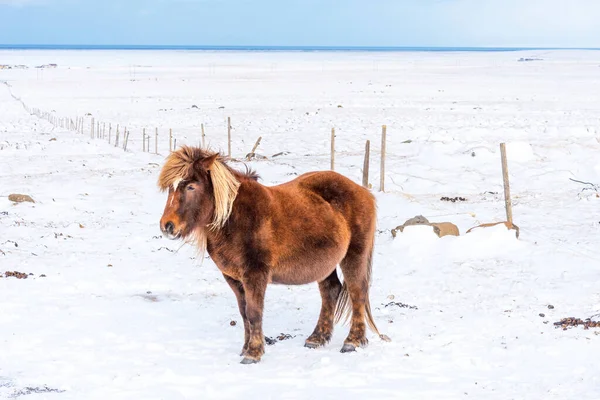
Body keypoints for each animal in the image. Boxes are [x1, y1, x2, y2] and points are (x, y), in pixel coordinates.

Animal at [158, 145, 384, 364]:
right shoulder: (233, 278)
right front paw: (245, 348)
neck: (236, 218)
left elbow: (254, 313)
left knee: (357, 292)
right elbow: (244, 313)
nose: (167, 226)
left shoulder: (255, 275)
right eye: (170, 187)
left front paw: (253, 353)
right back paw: (317, 338)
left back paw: (352, 341)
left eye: (191, 186)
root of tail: (363, 191)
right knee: (331, 291)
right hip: (325, 263)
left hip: (354, 256)